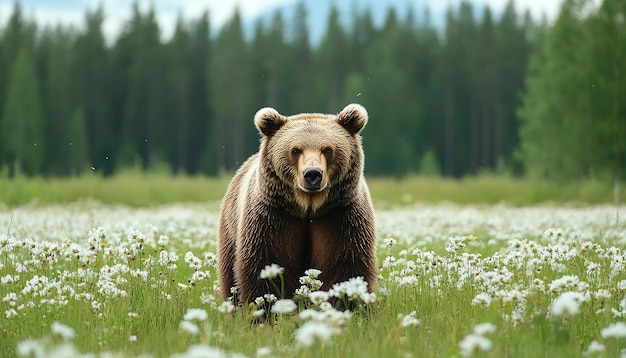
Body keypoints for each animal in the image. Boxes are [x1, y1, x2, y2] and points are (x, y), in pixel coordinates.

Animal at [217, 104, 378, 304]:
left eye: (328, 150)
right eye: (295, 150)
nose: (313, 174)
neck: (308, 208)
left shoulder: (340, 215)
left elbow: (345, 263)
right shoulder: (272, 217)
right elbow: (265, 262)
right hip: (230, 230)